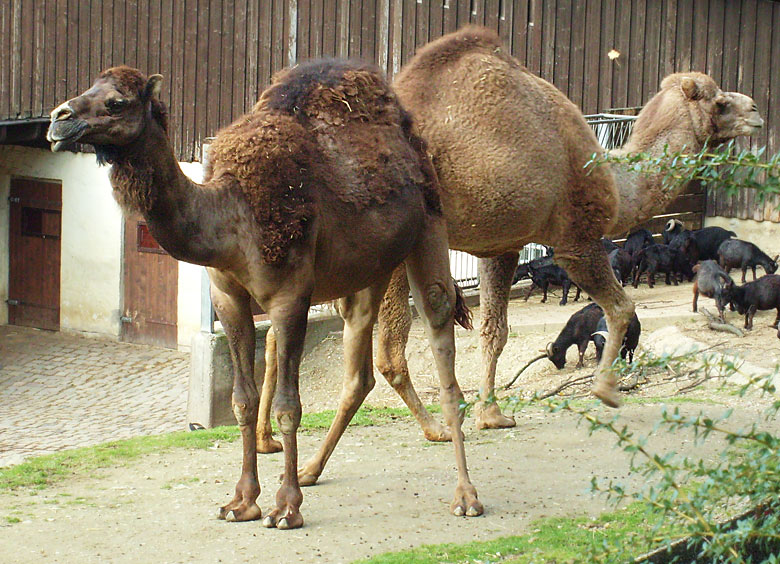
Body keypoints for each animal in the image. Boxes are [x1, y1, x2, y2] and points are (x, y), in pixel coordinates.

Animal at [47, 61, 482, 528]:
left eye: (117, 102)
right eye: (89, 86)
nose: (58, 119)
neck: (228, 214)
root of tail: (412, 140)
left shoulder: (290, 296)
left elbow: (289, 406)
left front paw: (286, 507)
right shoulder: (227, 295)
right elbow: (243, 399)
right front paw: (242, 501)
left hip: (429, 226)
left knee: (443, 345)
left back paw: (466, 494)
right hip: (369, 271)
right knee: (359, 369)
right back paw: (311, 470)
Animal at [254, 25, 760, 490]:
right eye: (719, 101)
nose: (755, 110)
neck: (615, 183)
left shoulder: (500, 244)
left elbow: (493, 332)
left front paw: (493, 414)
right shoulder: (574, 238)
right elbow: (620, 307)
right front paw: (606, 390)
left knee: (285, 331)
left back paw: (271, 443)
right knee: (386, 353)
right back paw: (411, 435)